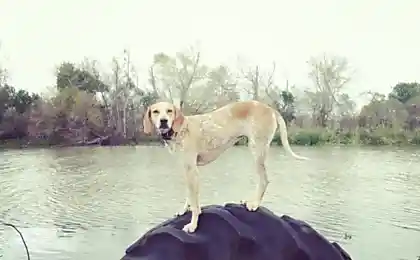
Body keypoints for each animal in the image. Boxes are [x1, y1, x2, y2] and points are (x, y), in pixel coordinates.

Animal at [144, 100, 308, 234]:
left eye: (169, 111)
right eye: (155, 111)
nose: (163, 121)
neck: (181, 130)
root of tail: (270, 108)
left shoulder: (192, 171)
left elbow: (196, 205)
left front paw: (193, 225)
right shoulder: (187, 170)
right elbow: (189, 196)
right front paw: (184, 210)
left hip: (257, 150)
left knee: (264, 180)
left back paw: (254, 204)